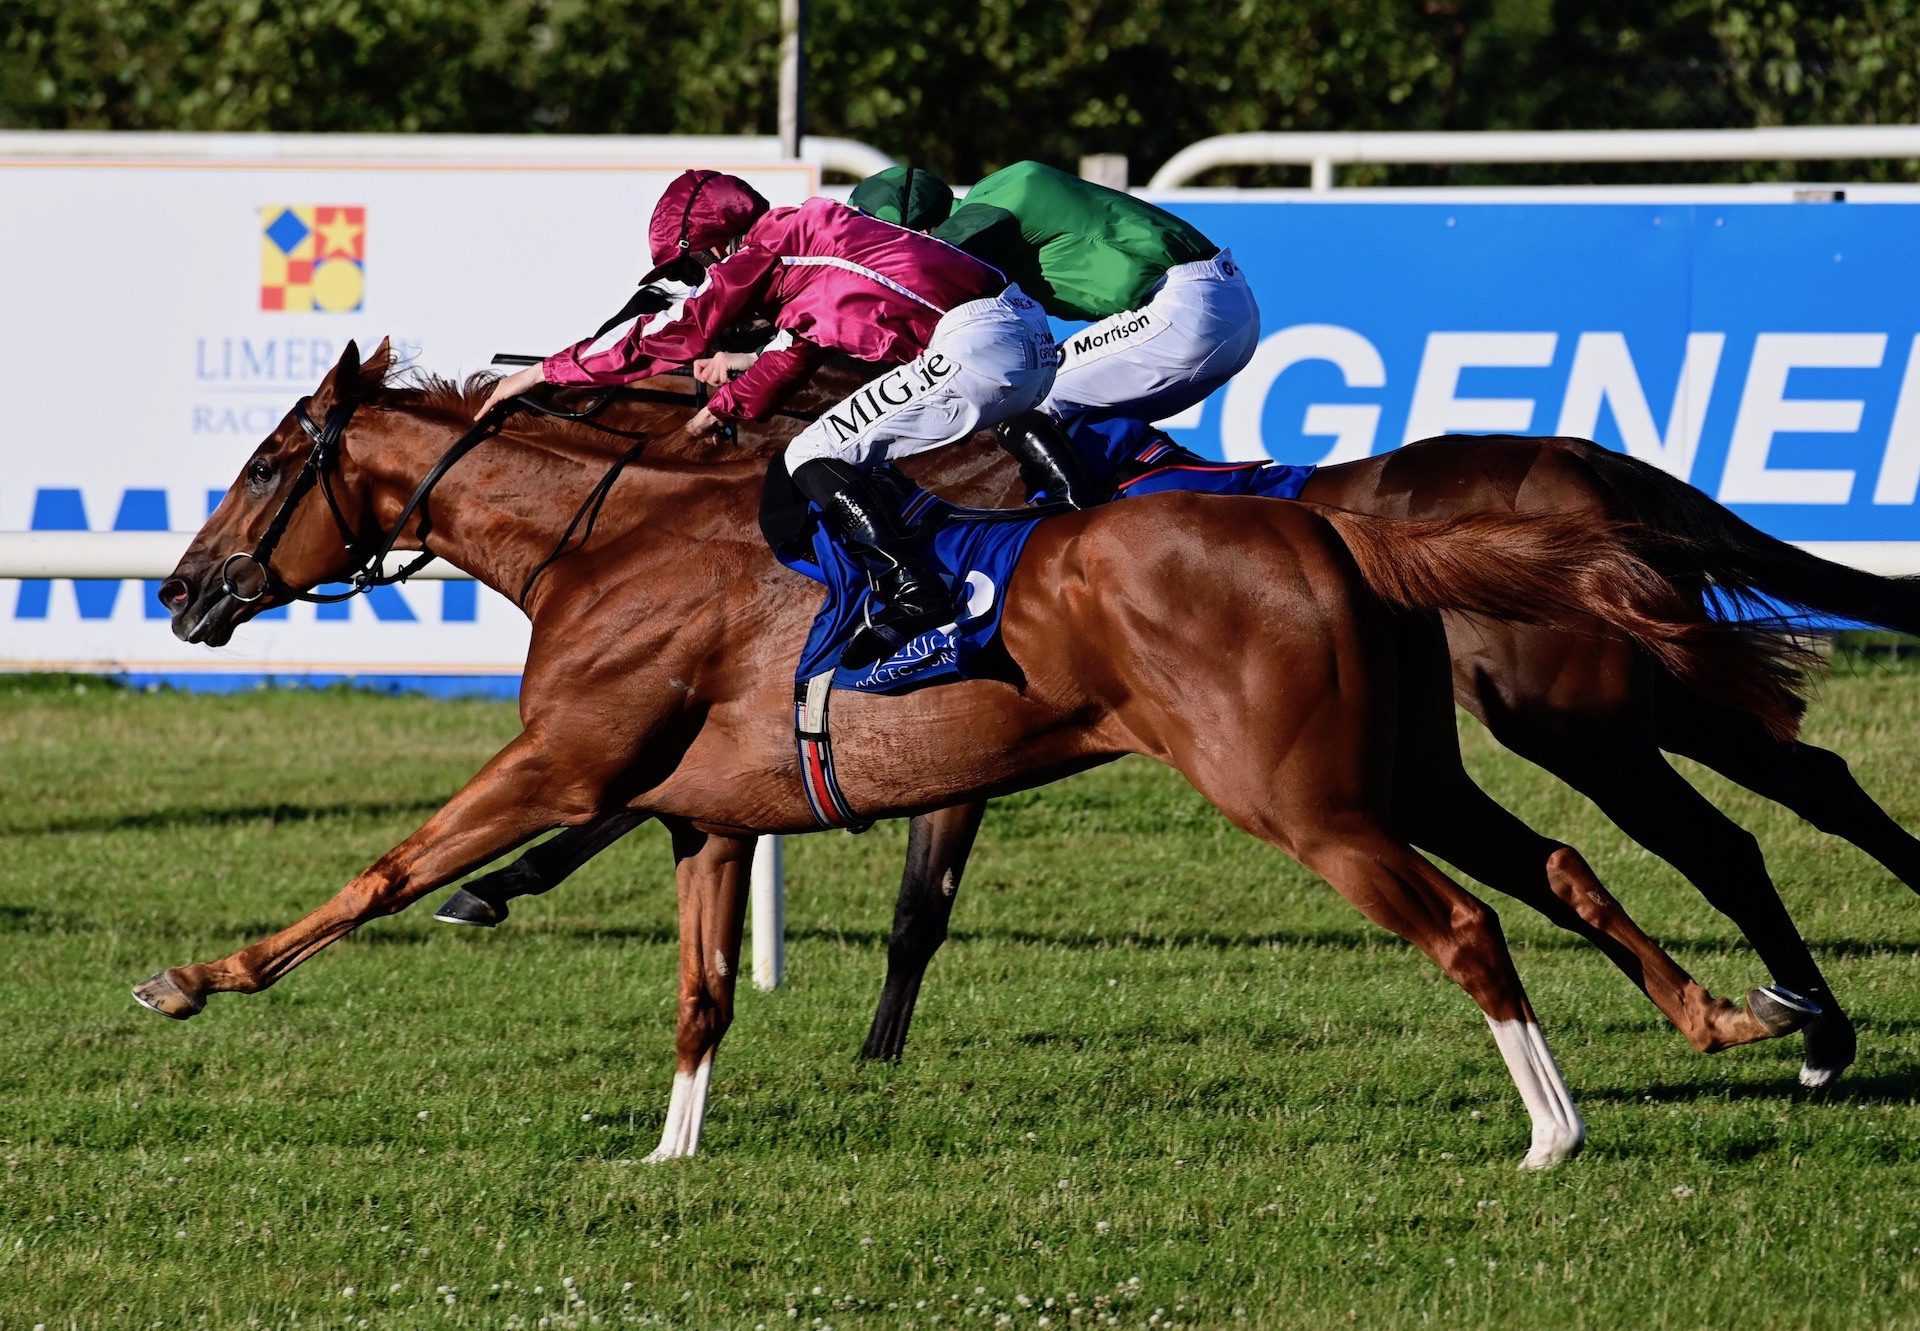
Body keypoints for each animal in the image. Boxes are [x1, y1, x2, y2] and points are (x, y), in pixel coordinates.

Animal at [139, 339, 1812, 1160]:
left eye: (269, 461)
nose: (180, 588)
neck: (601, 543)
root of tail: (1343, 529)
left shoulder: (567, 764)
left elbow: (387, 872)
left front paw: (199, 976)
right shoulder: (702, 815)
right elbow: (699, 996)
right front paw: (670, 1154)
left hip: (1306, 797)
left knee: (1468, 922)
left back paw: (1555, 1130)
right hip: (1409, 767)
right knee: (1565, 863)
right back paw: (1735, 1015)